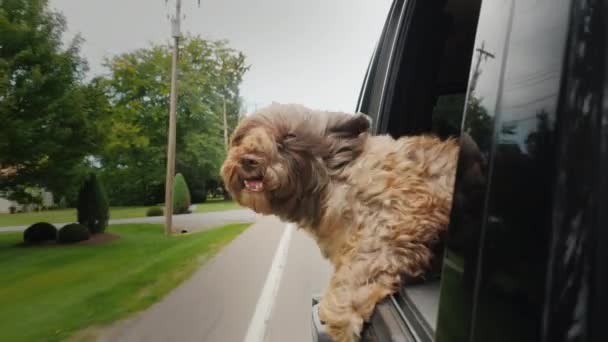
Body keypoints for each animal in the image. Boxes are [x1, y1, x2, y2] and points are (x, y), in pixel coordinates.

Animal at [221, 103, 458, 340]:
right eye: (240, 138)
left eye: (288, 137)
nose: (247, 159)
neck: (336, 176)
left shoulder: (397, 218)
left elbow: (362, 264)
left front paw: (341, 317)